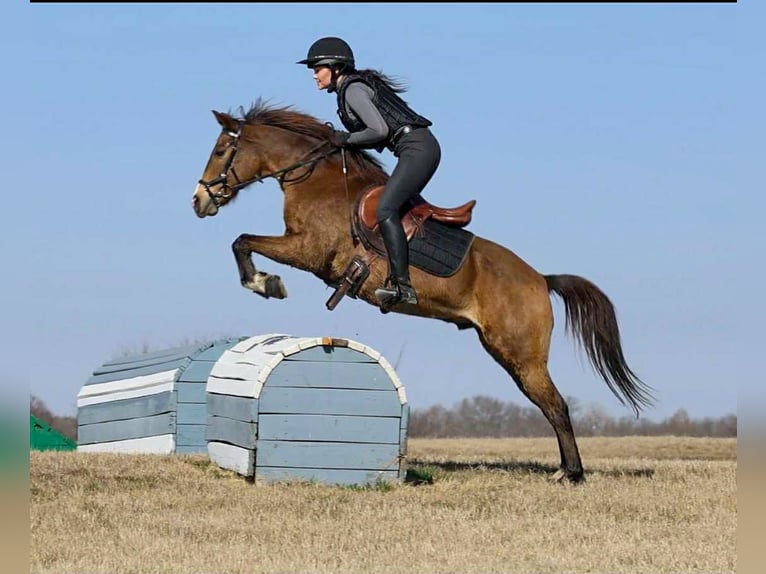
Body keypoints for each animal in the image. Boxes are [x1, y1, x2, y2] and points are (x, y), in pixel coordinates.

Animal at [191, 100, 654, 483]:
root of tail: (541, 278)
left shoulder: (310, 251)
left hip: (520, 353)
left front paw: (265, 283)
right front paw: (262, 281)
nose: (199, 201)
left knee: (556, 405)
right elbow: (242, 241)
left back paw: (571, 474)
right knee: (548, 404)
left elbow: (242, 240)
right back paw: (565, 469)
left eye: (221, 150)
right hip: (508, 354)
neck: (316, 179)